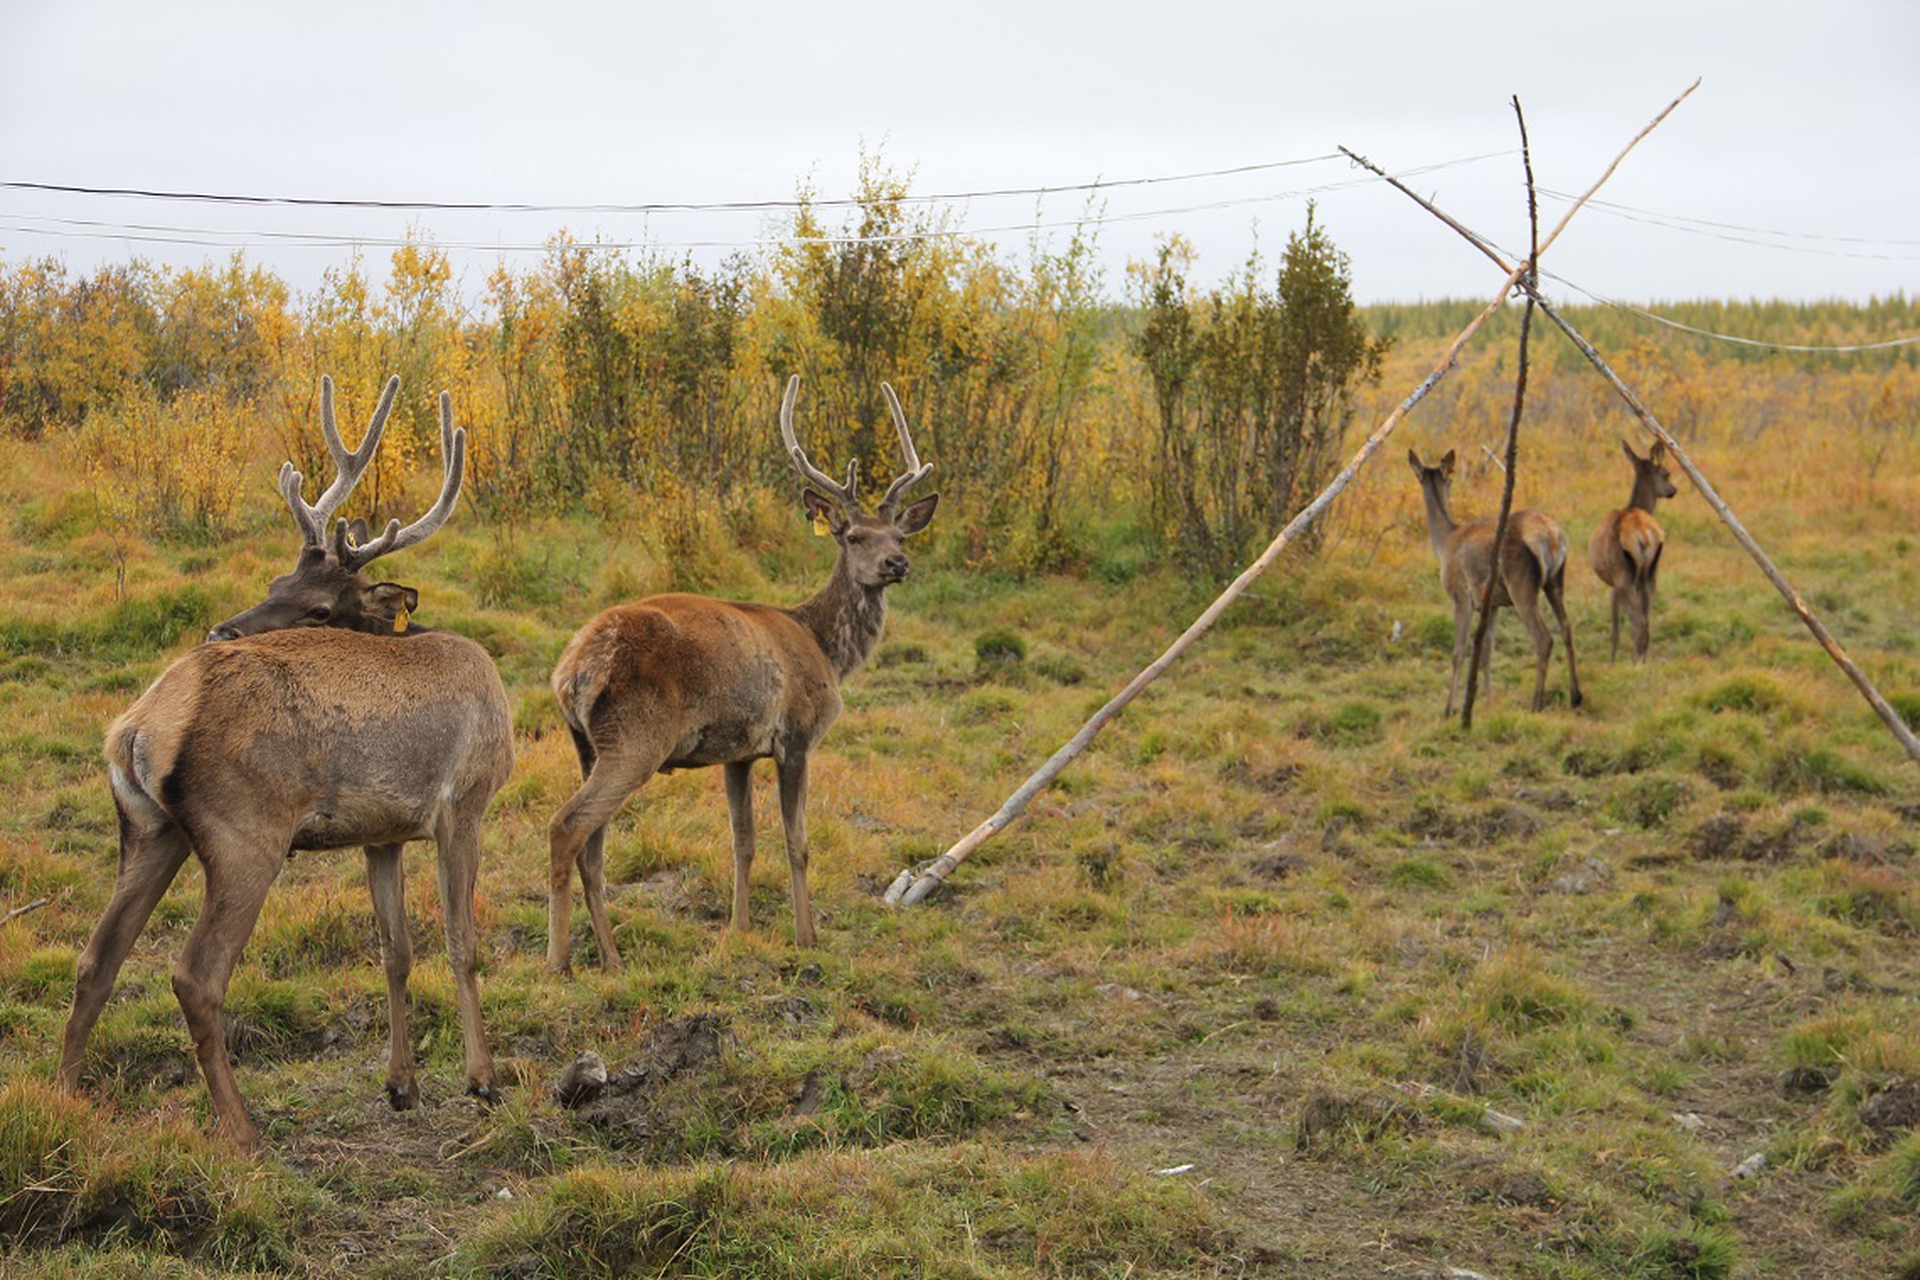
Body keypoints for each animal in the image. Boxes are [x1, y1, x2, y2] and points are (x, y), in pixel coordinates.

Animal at [61, 378, 510, 1151]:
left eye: (319, 607)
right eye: (274, 581)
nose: (220, 630)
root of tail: (137, 728)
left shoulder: (384, 832)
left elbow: (395, 950)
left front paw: (402, 1086)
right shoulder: (465, 802)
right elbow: (461, 940)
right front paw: (482, 1080)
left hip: (149, 830)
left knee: (97, 959)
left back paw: (60, 1100)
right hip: (246, 831)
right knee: (195, 975)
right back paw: (242, 1132)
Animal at [541, 376, 936, 974]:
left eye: (900, 535)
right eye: (852, 536)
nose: (897, 564)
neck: (826, 648)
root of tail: (572, 672)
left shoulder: (738, 752)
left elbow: (742, 840)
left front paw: (740, 927)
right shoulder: (797, 735)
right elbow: (797, 843)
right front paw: (806, 935)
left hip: (586, 744)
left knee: (593, 845)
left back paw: (610, 957)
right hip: (636, 738)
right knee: (566, 828)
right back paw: (559, 962)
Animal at [1405, 450, 1582, 717]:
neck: (1444, 544)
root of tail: (1552, 536)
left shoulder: (1461, 596)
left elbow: (1459, 652)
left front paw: (1450, 709)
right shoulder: (1493, 604)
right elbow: (1487, 652)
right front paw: (1487, 702)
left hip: (1521, 583)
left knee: (1543, 638)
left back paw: (1536, 703)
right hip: (1555, 580)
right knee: (1566, 627)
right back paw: (1575, 696)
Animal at [1589, 437, 1681, 660]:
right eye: (1666, 473)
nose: (1673, 489)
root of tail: (1643, 535)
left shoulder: (1612, 584)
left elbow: (1615, 629)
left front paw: (1611, 662)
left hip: (1623, 576)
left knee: (1638, 624)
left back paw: (1636, 663)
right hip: (1650, 575)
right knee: (1646, 623)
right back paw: (1642, 662)